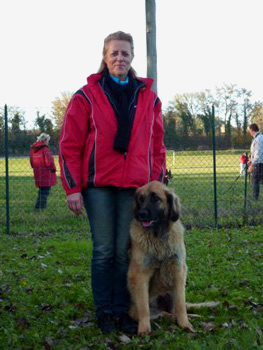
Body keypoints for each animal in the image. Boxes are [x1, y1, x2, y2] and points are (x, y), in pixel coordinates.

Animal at [128, 182, 196, 334]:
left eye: (156, 199)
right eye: (141, 199)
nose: (141, 214)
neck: (158, 237)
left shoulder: (178, 271)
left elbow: (181, 304)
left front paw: (185, 324)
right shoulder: (141, 274)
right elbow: (144, 308)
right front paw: (144, 329)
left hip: (170, 291)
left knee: (173, 310)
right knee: (161, 314)